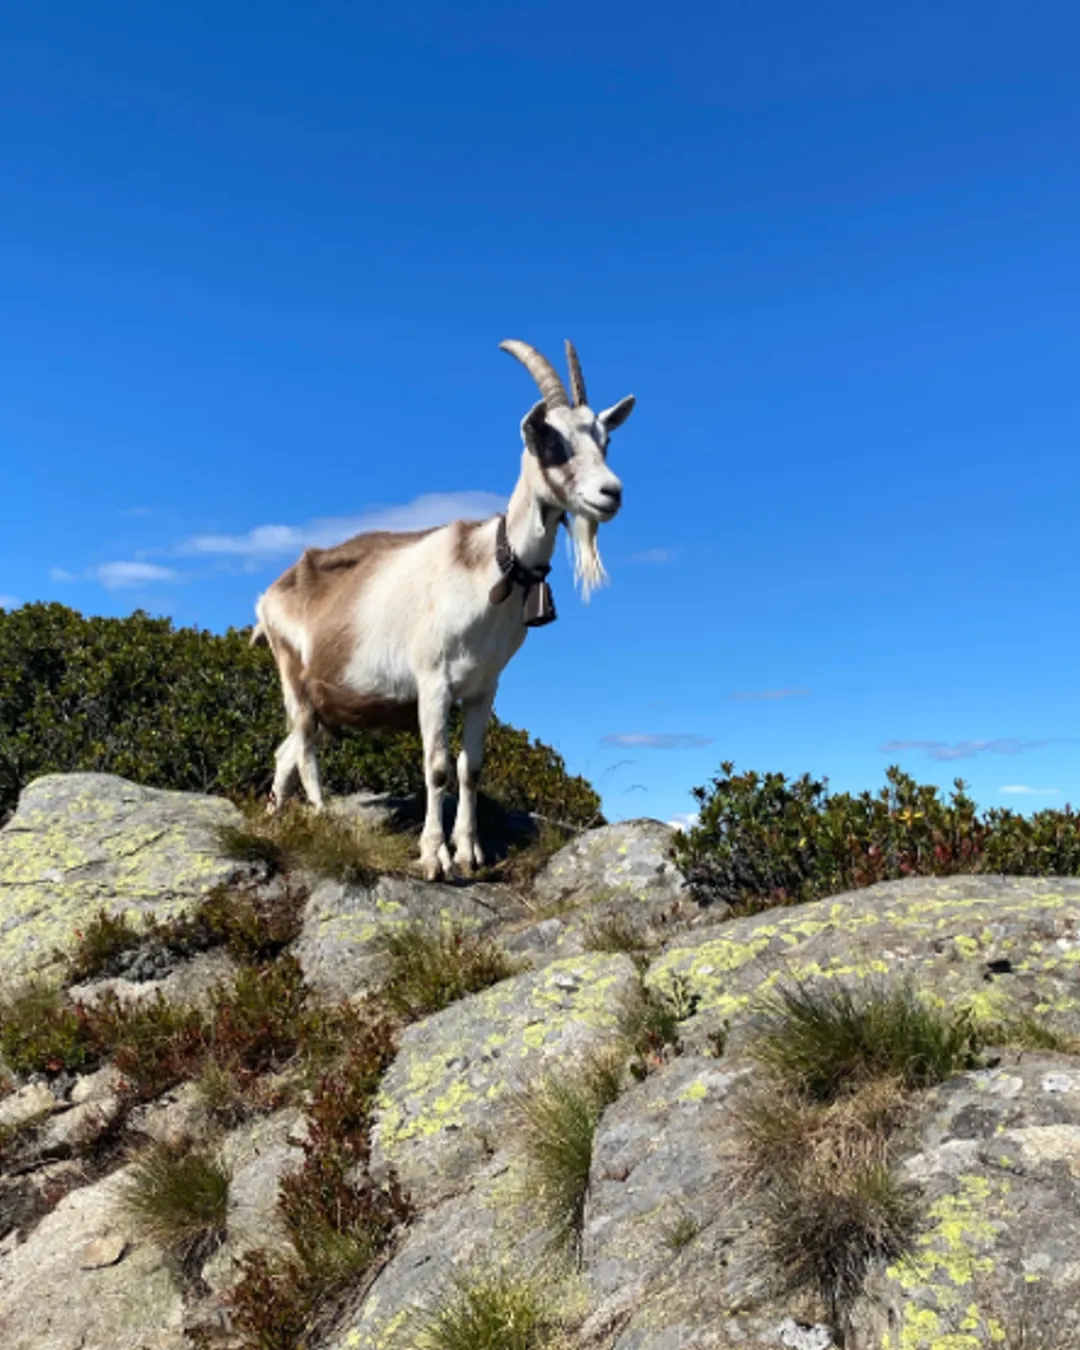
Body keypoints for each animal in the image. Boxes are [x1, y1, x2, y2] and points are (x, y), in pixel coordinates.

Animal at [252, 342, 631, 880]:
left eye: (606, 439)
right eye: (551, 441)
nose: (610, 493)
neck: (490, 565)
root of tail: (272, 593)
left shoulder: (483, 688)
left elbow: (469, 769)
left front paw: (470, 852)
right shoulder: (433, 681)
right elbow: (436, 768)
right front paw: (435, 856)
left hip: (325, 704)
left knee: (287, 750)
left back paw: (276, 819)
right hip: (296, 682)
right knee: (303, 751)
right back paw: (325, 821)